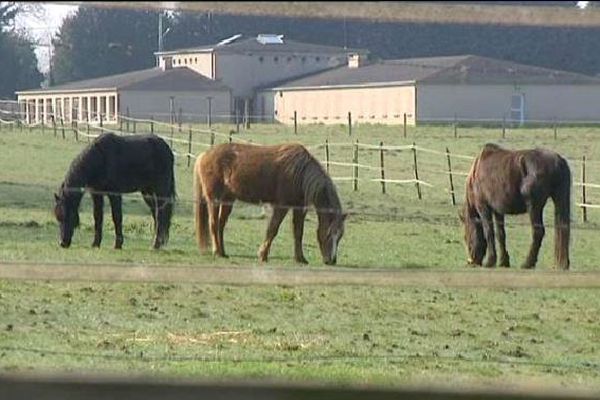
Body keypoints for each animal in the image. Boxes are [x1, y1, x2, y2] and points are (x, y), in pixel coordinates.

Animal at [192, 142, 346, 264]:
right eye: (329, 234)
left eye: (340, 236)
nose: (332, 261)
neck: (300, 173)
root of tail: (204, 155)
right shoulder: (281, 206)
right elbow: (272, 229)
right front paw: (263, 255)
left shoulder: (299, 208)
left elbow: (298, 232)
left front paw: (300, 258)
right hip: (214, 200)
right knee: (213, 224)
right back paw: (217, 252)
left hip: (228, 200)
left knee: (221, 225)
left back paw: (223, 253)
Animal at [460, 142, 572, 270]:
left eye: (466, 237)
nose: (471, 262)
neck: (477, 171)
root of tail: (558, 161)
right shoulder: (498, 211)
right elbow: (501, 234)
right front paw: (503, 261)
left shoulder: (484, 208)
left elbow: (489, 232)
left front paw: (490, 261)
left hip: (534, 208)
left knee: (538, 232)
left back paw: (528, 263)